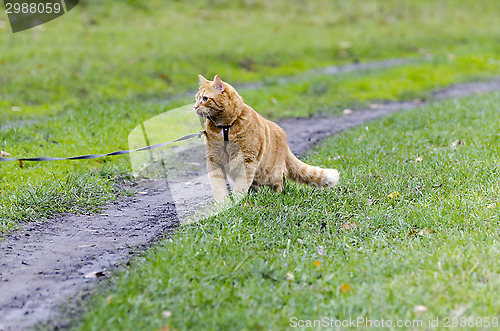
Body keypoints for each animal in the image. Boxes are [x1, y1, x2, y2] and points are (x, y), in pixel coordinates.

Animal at [195, 75, 340, 202]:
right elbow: (218, 186)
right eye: (196, 99)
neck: (225, 127)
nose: (194, 106)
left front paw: (236, 201)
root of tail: (285, 142)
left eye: (205, 98)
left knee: (280, 180)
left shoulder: (247, 160)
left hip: (273, 173)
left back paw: (275, 194)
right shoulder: (214, 160)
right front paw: (222, 204)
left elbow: (240, 185)